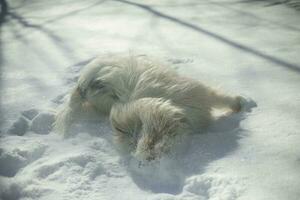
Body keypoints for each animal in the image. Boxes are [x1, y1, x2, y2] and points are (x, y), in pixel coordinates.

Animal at [54, 54, 246, 161]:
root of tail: (82, 84)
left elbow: (223, 98)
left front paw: (240, 104)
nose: (144, 158)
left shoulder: (200, 94)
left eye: (139, 136)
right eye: (134, 144)